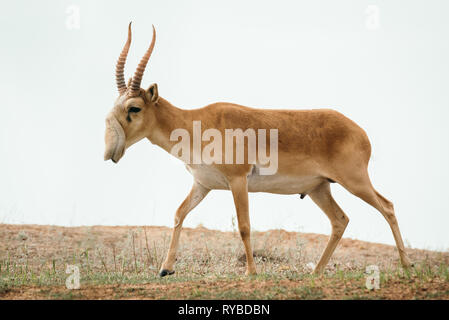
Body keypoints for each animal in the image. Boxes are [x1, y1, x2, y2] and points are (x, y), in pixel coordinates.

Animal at [104, 24, 410, 278]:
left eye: (134, 107)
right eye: (116, 105)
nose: (111, 152)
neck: (196, 123)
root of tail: (360, 132)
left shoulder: (238, 181)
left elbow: (244, 225)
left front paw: (251, 272)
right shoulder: (203, 184)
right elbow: (179, 214)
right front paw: (166, 269)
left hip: (355, 182)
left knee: (387, 206)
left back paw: (407, 266)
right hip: (319, 188)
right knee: (340, 220)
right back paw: (316, 272)